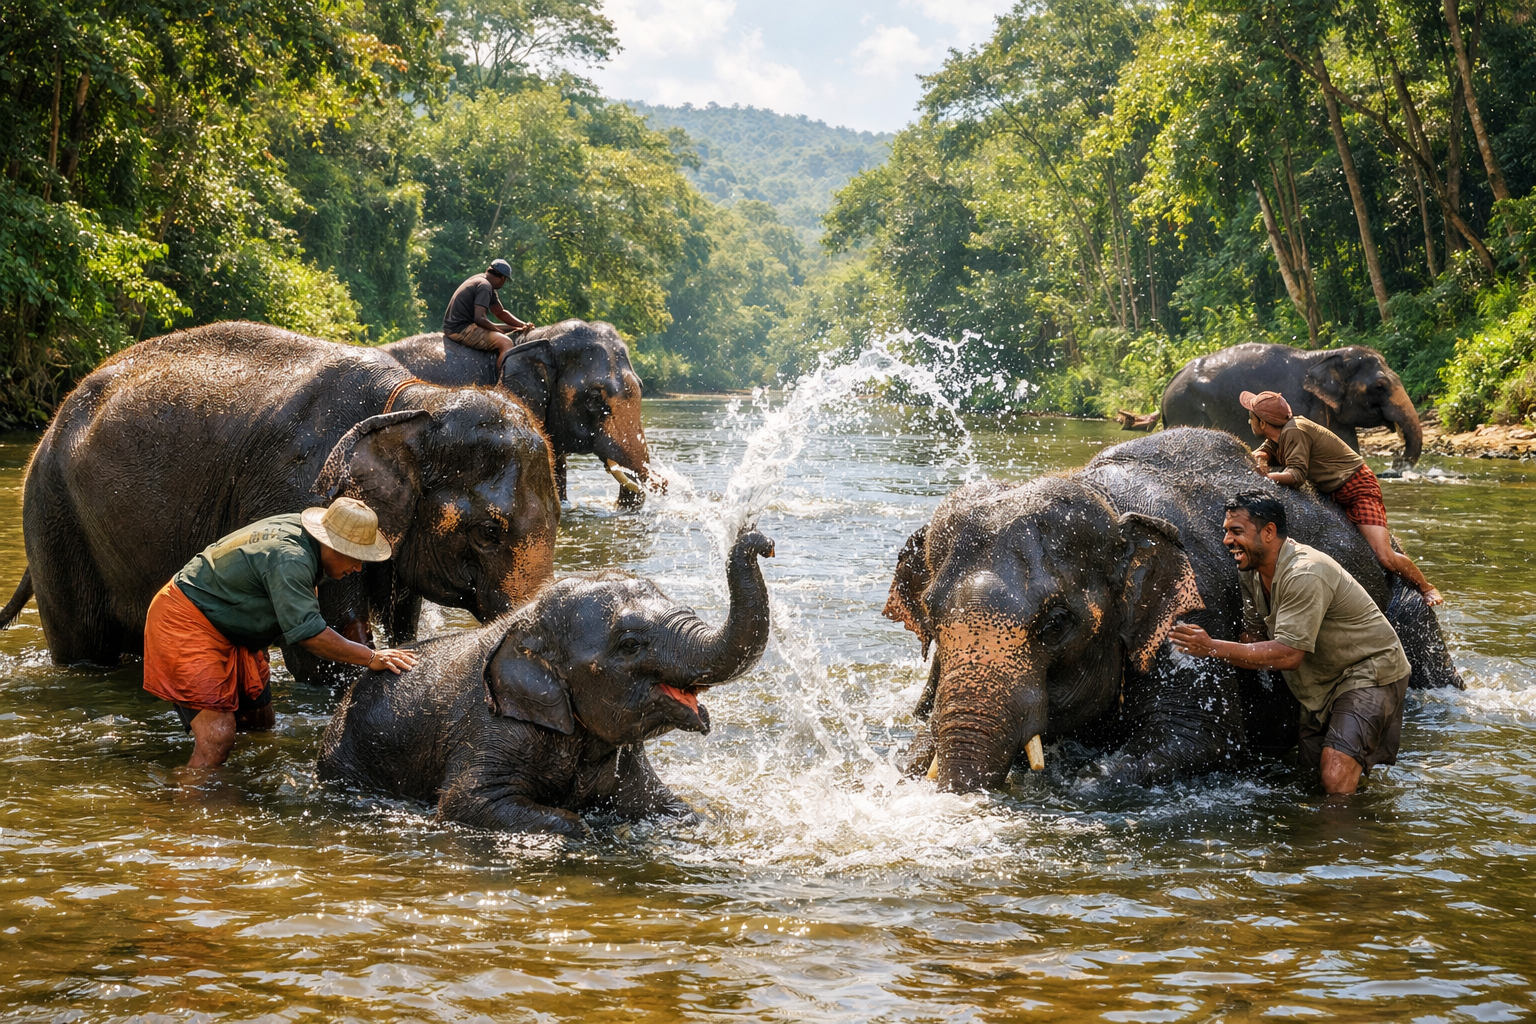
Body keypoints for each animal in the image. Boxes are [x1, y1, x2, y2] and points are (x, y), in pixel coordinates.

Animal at [0, 321, 560, 684]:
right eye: (489, 532)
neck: (413, 400)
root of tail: (52, 421)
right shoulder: (304, 487)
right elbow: (325, 645)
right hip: (53, 514)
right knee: (85, 646)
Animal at [318, 528, 776, 836]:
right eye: (630, 645)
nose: (764, 542)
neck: (527, 623)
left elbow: (674, 808)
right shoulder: (490, 729)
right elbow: (466, 802)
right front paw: (591, 832)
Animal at [884, 428, 1459, 793]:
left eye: (1056, 623)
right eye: (932, 619)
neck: (1107, 501)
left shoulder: (1194, 606)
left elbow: (1199, 738)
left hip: (1407, 610)